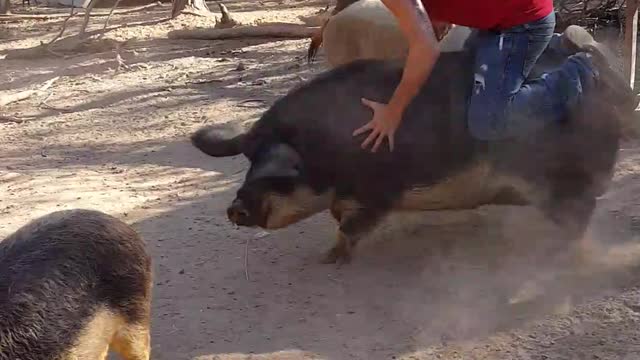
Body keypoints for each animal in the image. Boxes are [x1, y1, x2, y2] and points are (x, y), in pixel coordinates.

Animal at [191, 30, 636, 264]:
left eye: (274, 172)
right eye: (248, 161)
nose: (234, 207)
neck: (326, 150)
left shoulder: (381, 188)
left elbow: (350, 224)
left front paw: (329, 260)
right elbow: (340, 217)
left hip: (562, 177)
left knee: (580, 212)